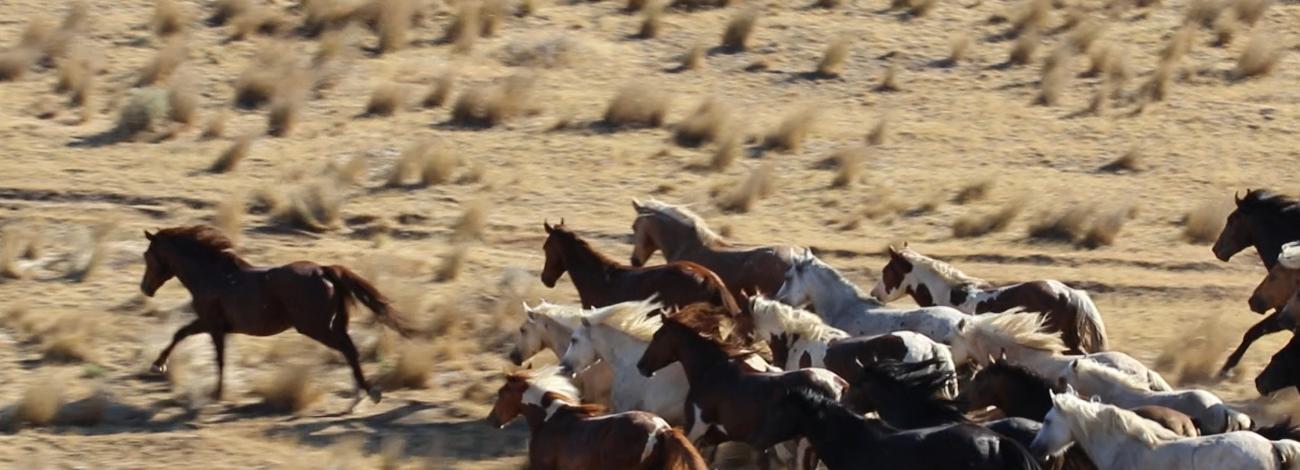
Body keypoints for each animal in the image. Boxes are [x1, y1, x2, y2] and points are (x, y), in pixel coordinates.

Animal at [139, 225, 412, 411]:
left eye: (148, 256)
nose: (145, 289)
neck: (211, 274)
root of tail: (323, 270)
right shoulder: (212, 325)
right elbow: (182, 334)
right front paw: (159, 365)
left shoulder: (212, 325)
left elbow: (214, 356)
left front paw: (216, 393)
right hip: (330, 325)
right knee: (349, 350)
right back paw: (358, 397)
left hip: (314, 327)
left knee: (348, 349)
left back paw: (368, 394)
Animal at [635, 306, 846, 469]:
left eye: (657, 336)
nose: (641, 366)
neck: (711, 370)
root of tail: (838, 383)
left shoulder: (697, 428)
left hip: (806, 444)